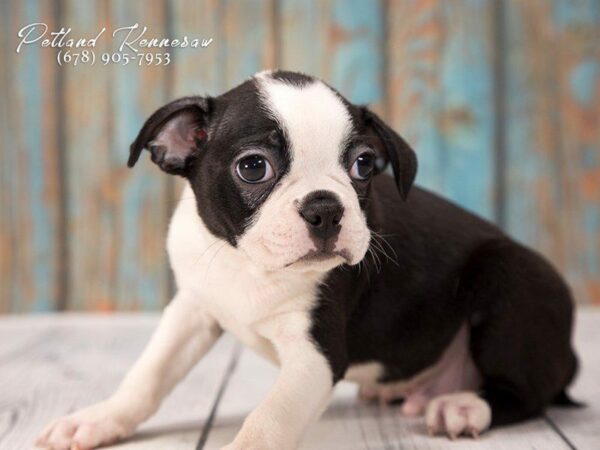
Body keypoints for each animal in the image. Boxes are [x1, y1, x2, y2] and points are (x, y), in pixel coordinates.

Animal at [35, 71, 580, 450]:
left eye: (363, 164)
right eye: (253, 167)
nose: (326, 207)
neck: (250, 265)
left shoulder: (315, 357)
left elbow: (268, 419)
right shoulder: (193, 309)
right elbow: (148, 374)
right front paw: (98, 419)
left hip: (512, 282)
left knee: (524, 391)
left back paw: (463, 406)